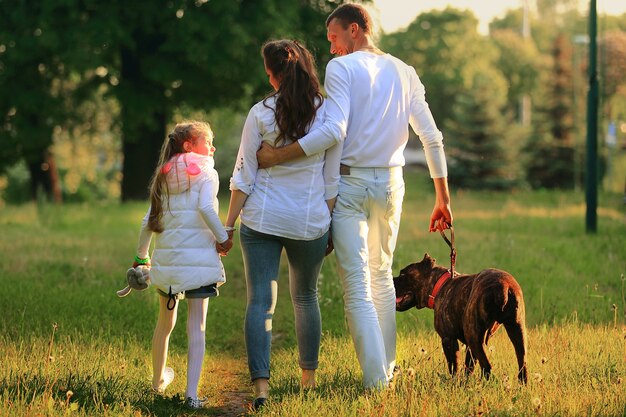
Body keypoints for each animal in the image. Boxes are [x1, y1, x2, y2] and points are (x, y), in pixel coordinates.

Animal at [394, 252, 528, 382]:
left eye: (402, 274)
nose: (392, 280)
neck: (438, 284)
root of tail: (502, 287)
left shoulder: (448, 339)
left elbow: (454, 367)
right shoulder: (469, 347)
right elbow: (468, 367)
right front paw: (465, 382)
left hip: (474, 337)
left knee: (487, 366)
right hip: (517, 332)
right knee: (522, 365)